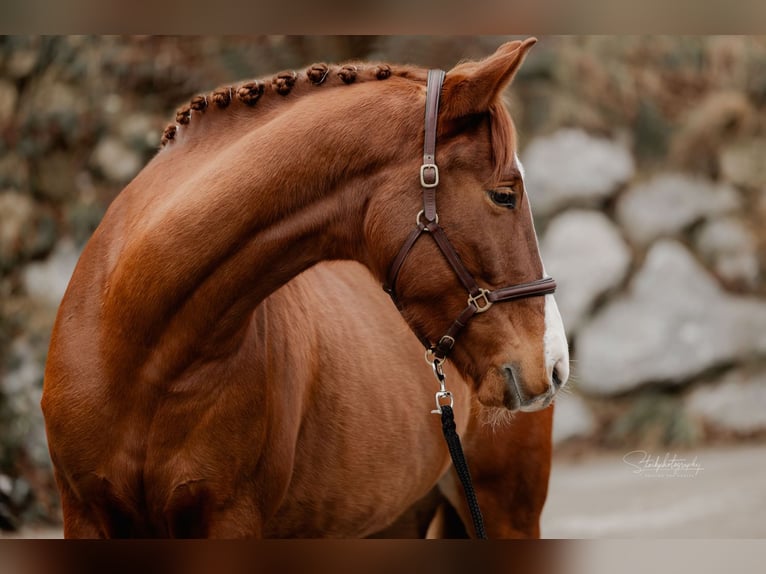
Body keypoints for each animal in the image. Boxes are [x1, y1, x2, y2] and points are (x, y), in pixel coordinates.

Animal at [40, 39, 568, 540]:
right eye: (504, 195)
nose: (555, 364)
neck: (142, 352)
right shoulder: (84, 515)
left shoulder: (230, 519)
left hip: (506, 513)